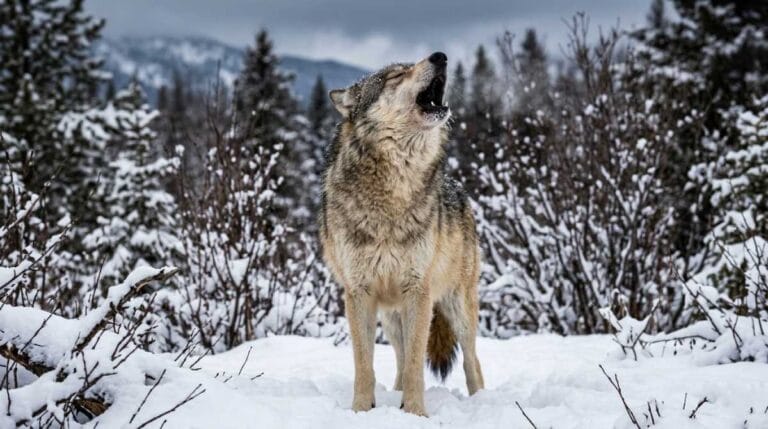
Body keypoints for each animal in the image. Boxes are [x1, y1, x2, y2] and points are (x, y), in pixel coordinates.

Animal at [319, 52, 484, 417]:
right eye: (396, 76)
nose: (440, 56)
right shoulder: (359, 293)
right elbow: (365, 365)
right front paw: (361, 411)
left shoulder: (418, 291)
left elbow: (414, 367)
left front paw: (415, 413)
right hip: (392, 316)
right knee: (399, 355)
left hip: (456, 307)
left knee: (471, 360)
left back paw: (481, 400)